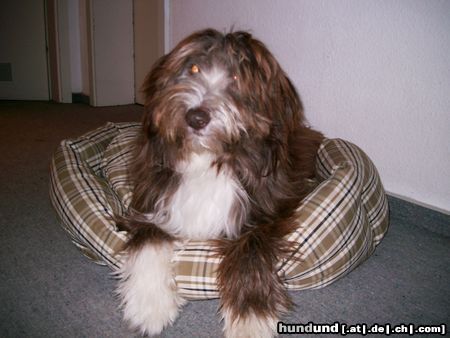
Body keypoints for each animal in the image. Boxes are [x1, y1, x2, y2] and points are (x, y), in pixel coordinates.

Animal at [117, 29, 324, 338]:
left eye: (238, 77)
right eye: (192, 68)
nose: (196, 117)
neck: (208, 159)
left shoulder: (267, 213)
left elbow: (250, 251)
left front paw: (250, 320)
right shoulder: (151, 198)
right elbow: (148, 239)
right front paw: (149, 304)